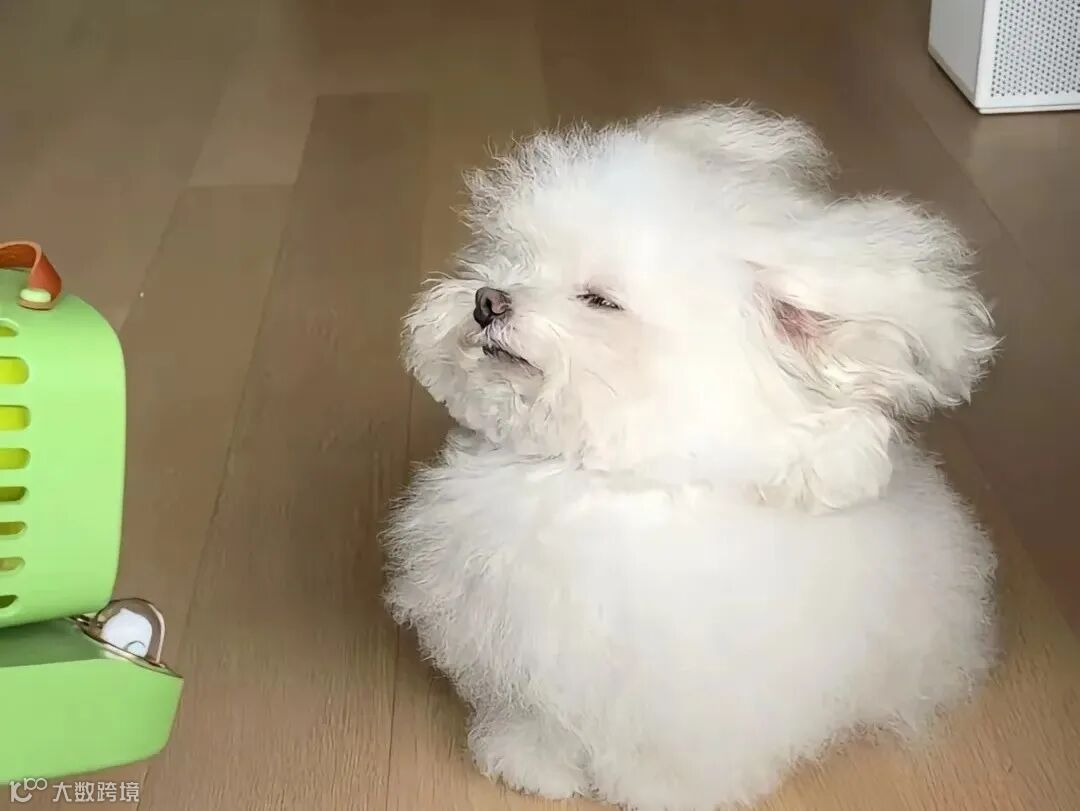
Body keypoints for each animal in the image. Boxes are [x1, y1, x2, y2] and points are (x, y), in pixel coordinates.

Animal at [384, 105, 998, 811]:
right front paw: (530, 763)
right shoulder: (534, 649)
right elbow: (543, 716)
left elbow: (676, 748)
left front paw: (658, 791)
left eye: (599, 300)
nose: (486, 300)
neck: (598, 479)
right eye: (515, 260)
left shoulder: (697, 688)